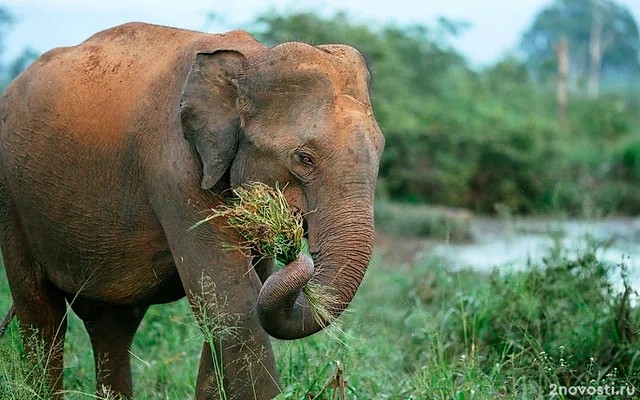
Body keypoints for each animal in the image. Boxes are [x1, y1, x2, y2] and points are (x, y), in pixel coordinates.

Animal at [0, 21, 382, 400]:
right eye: (304, 159)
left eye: (380, 152)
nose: (297, 257)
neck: (253, 59)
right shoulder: (175, 167)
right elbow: (232, 303)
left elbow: (239, 297)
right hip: (11, 197)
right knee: (41, 313)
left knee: (113, 322)